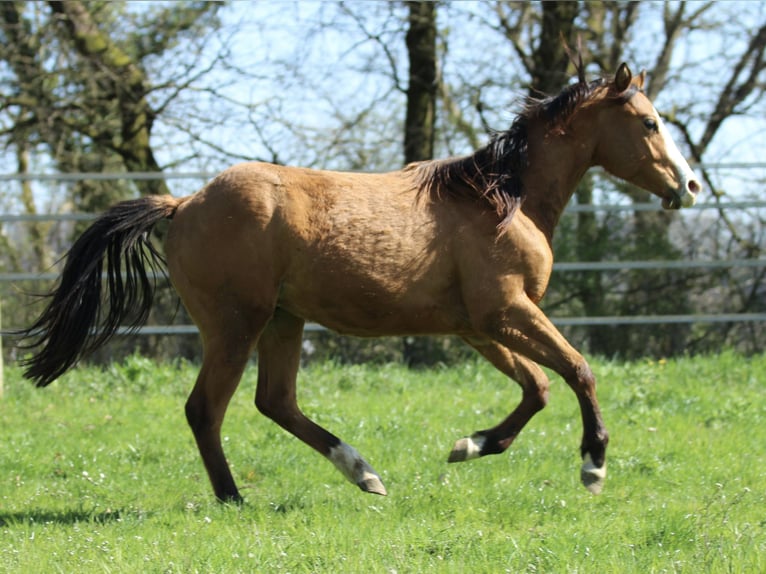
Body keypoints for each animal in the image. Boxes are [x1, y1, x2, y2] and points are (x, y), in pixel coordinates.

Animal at [17, 63, 700, 503]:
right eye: (648, 123)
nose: (689, 186)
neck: (503, 200)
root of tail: (183, 204)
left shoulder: (479, 326)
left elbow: (537, 387)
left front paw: (470, 446)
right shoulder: (507, 311)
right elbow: (578, 370)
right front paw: (593, 468)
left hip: (283, 321)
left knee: (276, 402)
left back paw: (364, 473)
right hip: (236, 325)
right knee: (206, 409)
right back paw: (235, 497)